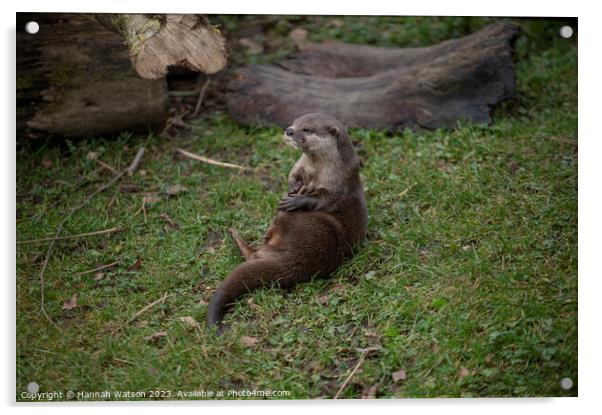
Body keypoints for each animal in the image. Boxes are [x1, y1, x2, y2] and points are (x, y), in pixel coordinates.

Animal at [206, 113, 366, 332]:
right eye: (295, 122)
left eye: (306, 129)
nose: (289, 130)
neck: (318, 169)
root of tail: (289, 261)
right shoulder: (301, 165)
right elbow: (293, 173)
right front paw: (294, 185)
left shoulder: (339, 183)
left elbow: (324, 199)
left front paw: (298, 199)